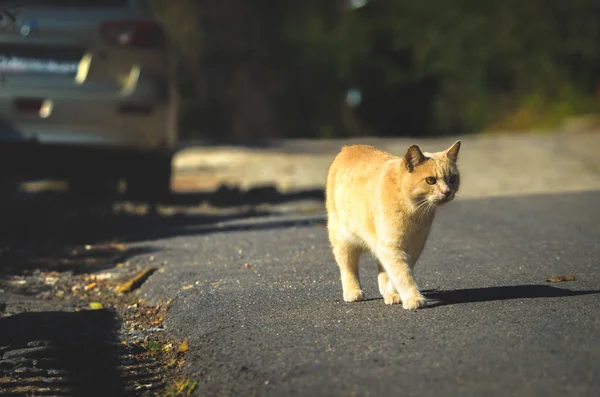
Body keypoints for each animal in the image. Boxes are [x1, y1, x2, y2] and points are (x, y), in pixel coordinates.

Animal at [326, 142, 462, 310]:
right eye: (430, 180)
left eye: (452, 178)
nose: (447, 192)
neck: (414, 212)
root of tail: (348, 147)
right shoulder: (392, 247)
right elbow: (403, 275)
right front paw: (413, 298)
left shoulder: (413, 248)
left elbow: (395, 275)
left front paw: (393, 294)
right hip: (344, 240)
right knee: (348, 267)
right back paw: (353, 291)